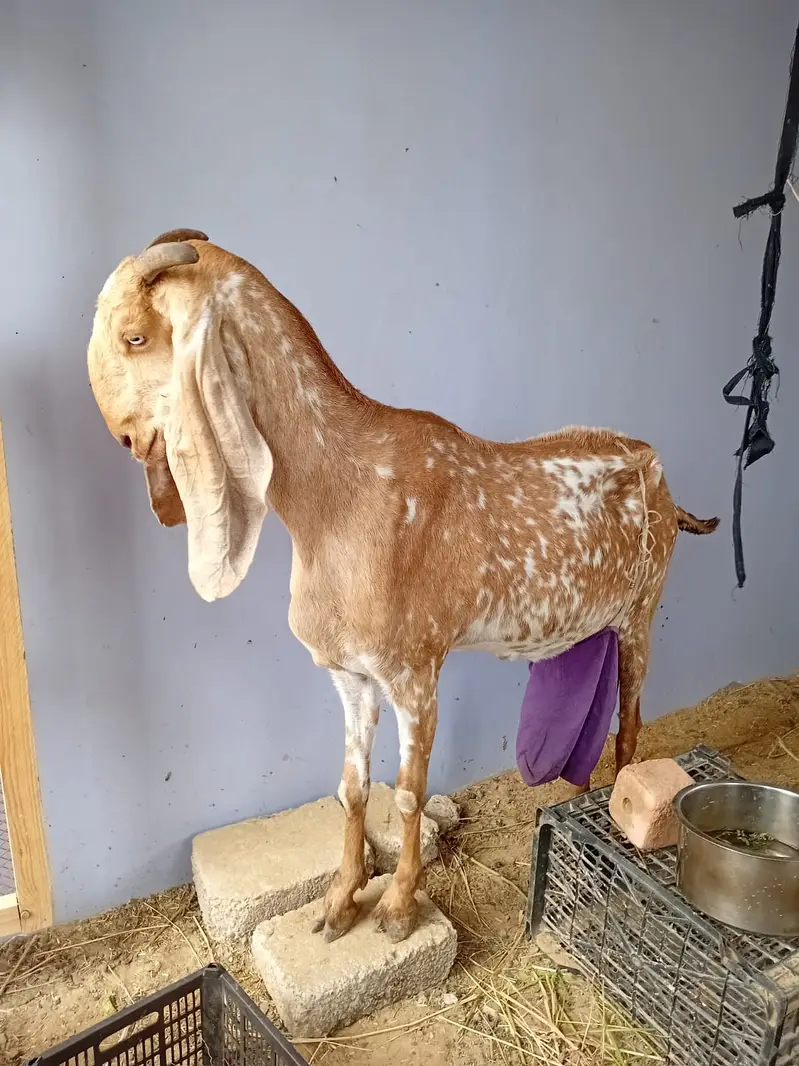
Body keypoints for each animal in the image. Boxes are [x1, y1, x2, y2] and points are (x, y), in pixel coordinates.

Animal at [87, 230, 718, 944]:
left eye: (135, 335)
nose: (125, 436)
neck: (340, 496)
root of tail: (660, 478)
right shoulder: (351, 675)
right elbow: (352, 788)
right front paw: (340, 900)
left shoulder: (415, 672)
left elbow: (412, 790)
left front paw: (397, 905)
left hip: (642, 611)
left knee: (631, 724)